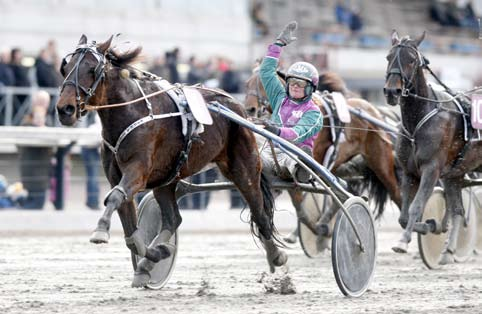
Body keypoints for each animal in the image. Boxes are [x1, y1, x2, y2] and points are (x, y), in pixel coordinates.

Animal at [57, 35, 290, 288]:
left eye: (92, 69)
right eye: (66, 68)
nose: (64, 109)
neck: (131, 112)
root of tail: (237, 106)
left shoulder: (137, 172)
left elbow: (115, 197)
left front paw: (100, 231)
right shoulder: (118, 176)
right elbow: (130, 230)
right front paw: (155, 255)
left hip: (244, 168)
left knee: (260, 212)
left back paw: (276, 255)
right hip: (166, 181)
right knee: (172, 219)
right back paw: (148, 263)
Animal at [243, 68, 402, 234]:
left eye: (261, 84)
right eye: (247, 84)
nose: (250, 109)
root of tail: (375, 110)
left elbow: (299, 202)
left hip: (381, 163)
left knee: (396, 194)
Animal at [382, 30, 480, 264]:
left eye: (411, 60)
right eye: (388, 57)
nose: (392, 91)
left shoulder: (431, 169)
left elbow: (417, 206)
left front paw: (403, 241)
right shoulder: (409, 172)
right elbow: (404, 216)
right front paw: (430, 226)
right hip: (455, 175)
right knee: (458, 210)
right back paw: (447, 252)